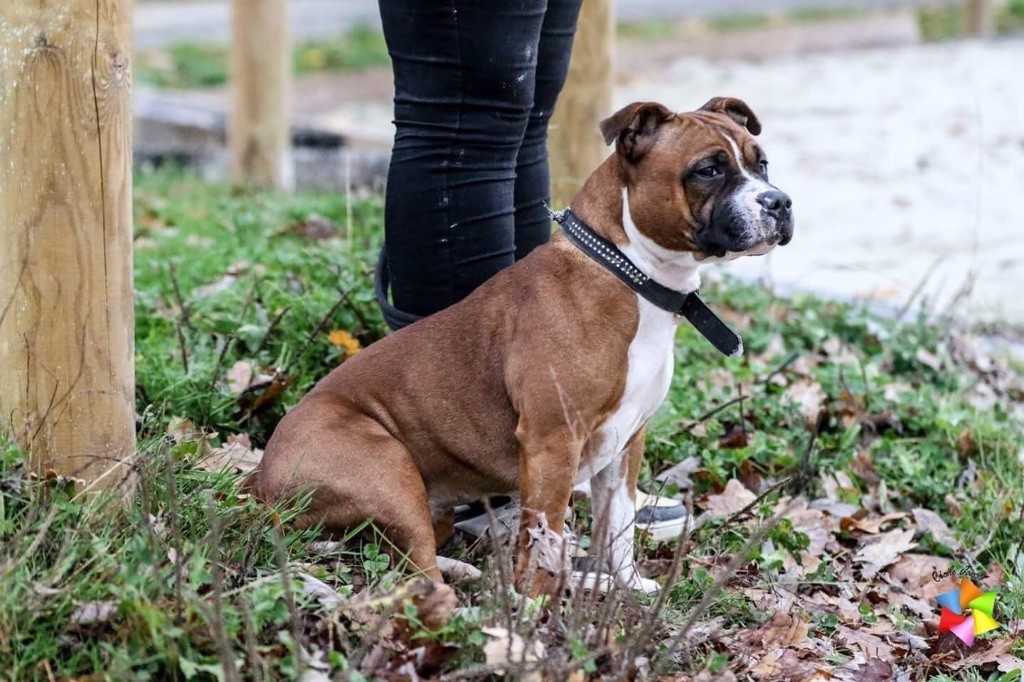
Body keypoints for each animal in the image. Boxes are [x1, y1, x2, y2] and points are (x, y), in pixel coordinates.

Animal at [253, 96, 790, 593]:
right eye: (708, 170)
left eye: (761, 163)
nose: (779, 202)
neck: (628, 271)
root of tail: (260, 479)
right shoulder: (552, 442)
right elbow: (544, 532)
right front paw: (535, 604)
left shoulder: (626, 444)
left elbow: (618, 529)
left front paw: (627, 587)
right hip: (388, 468)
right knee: (416, 566)